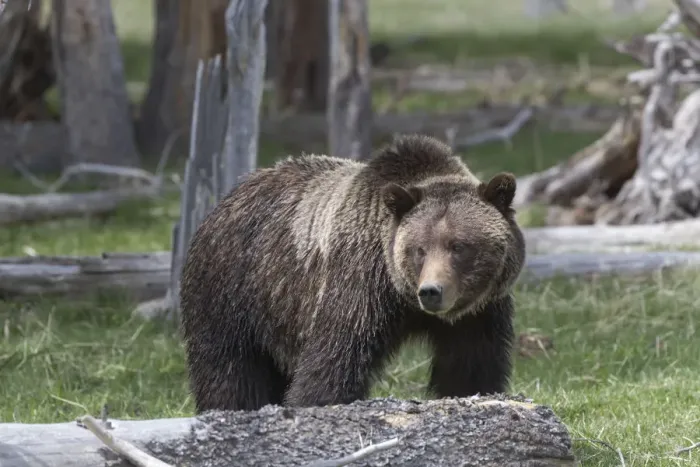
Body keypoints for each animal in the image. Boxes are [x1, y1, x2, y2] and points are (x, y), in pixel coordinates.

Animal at [179, 133, 526, 413]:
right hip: (232, 289)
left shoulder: (479, 314)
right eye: (419, 249)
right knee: (229, 367)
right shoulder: (359, 284)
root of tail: (225, 199)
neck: (402, 298)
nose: (431, 291)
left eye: (458, 246)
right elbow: (333, 359)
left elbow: (472, 368)